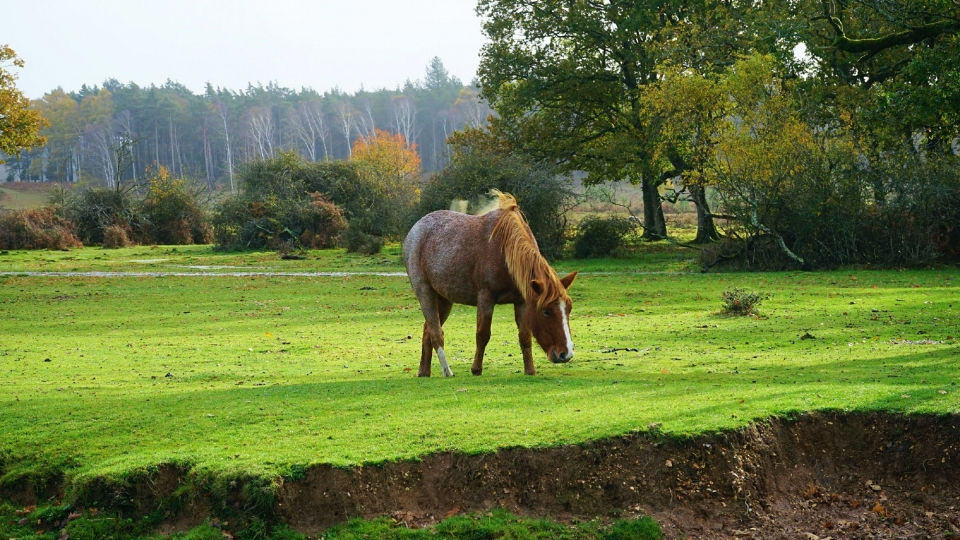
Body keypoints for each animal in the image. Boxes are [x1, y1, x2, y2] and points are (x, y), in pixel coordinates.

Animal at [400, 192, 576, 378]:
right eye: (546, 311)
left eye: (569, 309)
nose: (566, 354)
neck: (504, 251)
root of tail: (416, 228)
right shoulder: (486, 298)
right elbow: (483, 334)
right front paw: (476, 369)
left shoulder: (521, 302)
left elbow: (524, 336)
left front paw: (530, 370)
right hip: (424, 291)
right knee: (435, 332)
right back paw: (447, 371)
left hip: (444, 299)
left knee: (428, 329)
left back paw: (424, 371)